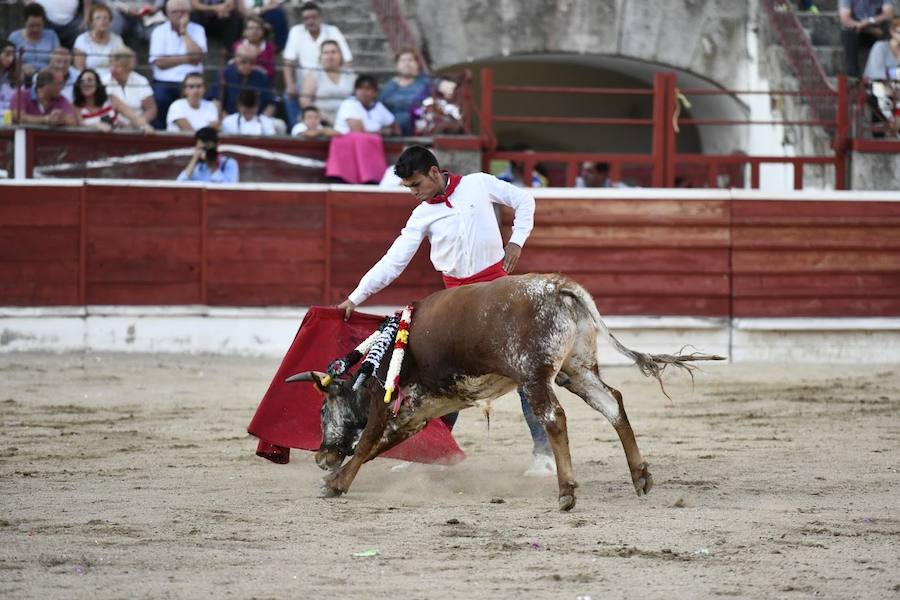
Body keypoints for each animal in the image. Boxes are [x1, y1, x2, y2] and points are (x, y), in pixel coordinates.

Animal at [288, 274, 724, 510]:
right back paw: (640, 476)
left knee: (554, 418)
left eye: (323, 412)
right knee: (612, 403)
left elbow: (367, 442)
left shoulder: (384, 399)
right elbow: (383, 443)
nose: (321, 457)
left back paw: (566, 492)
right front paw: (338, 479)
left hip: (535, 376)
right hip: (577, 370)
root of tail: (560, 287)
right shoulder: (418, 412)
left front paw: (335, 484)